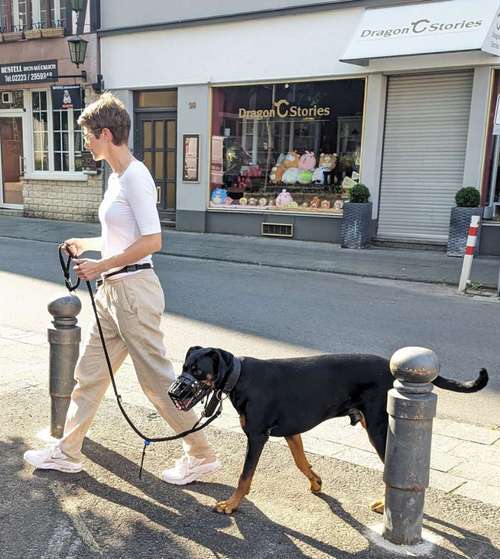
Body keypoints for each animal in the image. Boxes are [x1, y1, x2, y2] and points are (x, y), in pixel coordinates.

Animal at [179, 348, 488, 516]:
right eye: (184, 366)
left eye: (198, 370)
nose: (175, 391)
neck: (241, 376)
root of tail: (391, 368)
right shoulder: (292, 432)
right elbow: (301, 461)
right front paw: (316, 482)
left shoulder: (257, 436)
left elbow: (245, 476)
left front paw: (231, 505)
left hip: (378, 429)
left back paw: (384, 503)